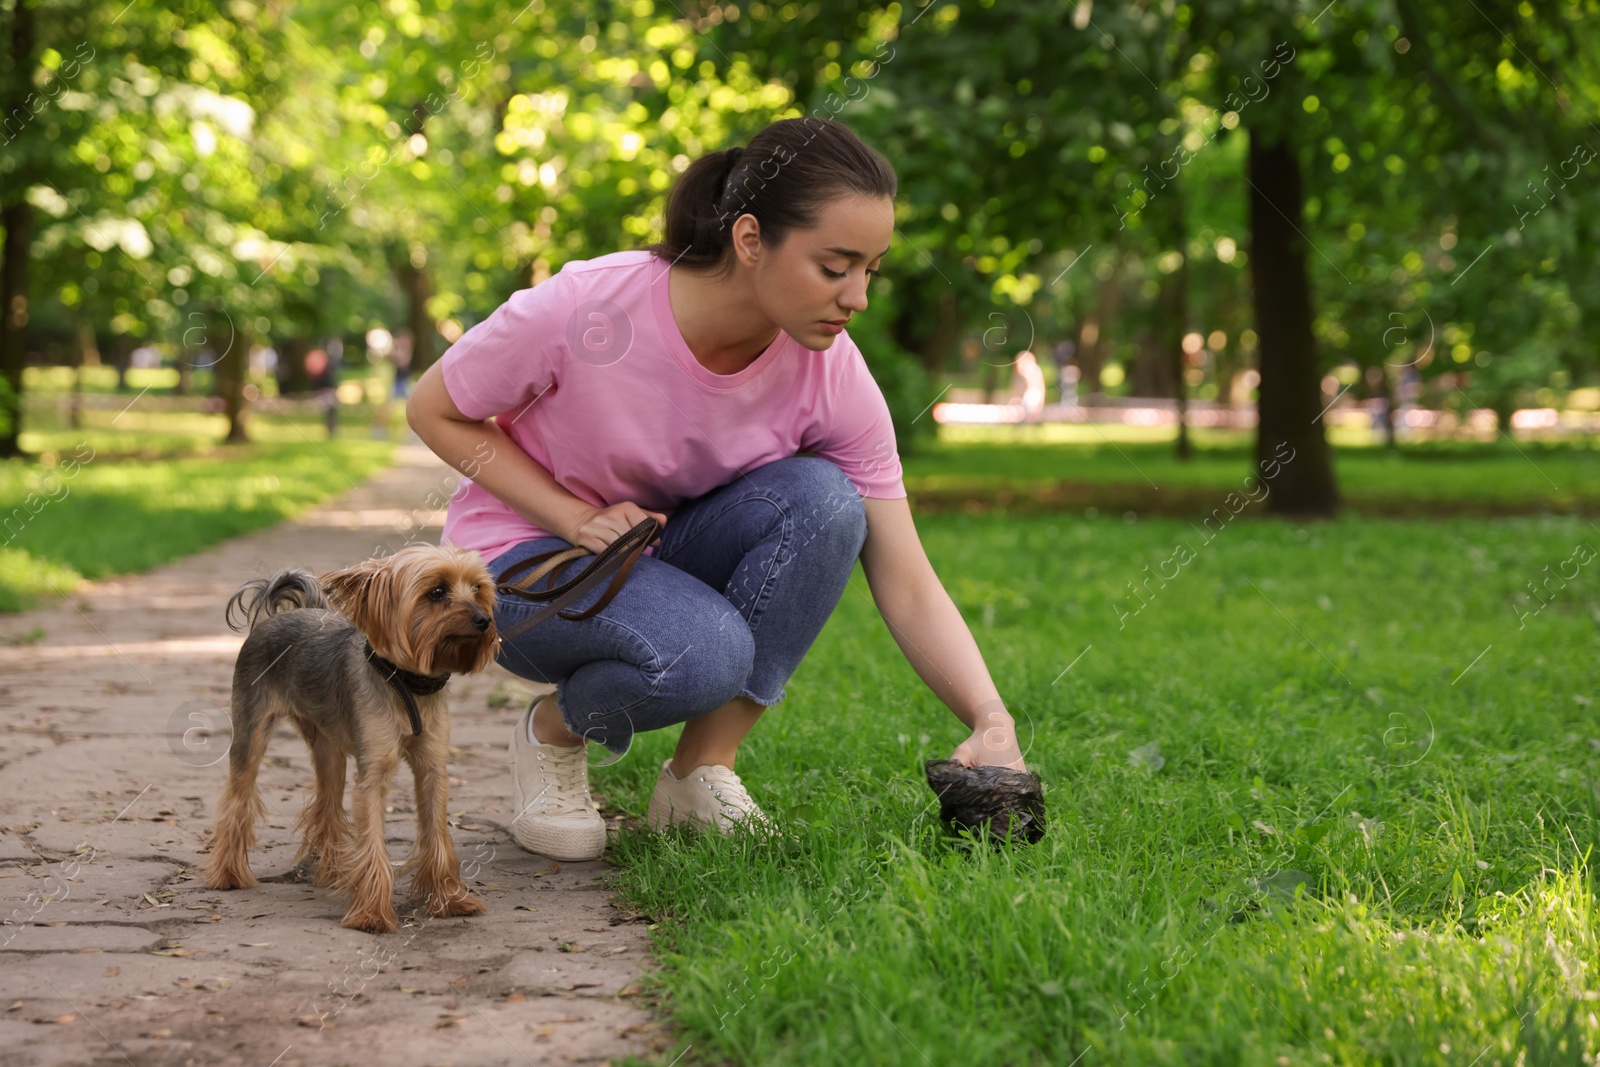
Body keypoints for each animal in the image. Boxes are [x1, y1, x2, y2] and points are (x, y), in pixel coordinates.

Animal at [204, 547, 499, 927]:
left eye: (478, 589)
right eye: (436, 592)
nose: (483, 620)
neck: (404, 682)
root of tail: (284, 613)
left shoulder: (433, 768)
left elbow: (437, 833)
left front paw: (448, 899)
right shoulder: (372, 773)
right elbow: (373, 839)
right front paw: (372, 913)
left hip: (328, 746)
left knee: (328, 803)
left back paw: (332, 874)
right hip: (251, 733)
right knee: (238, 797)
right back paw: (227, 874)